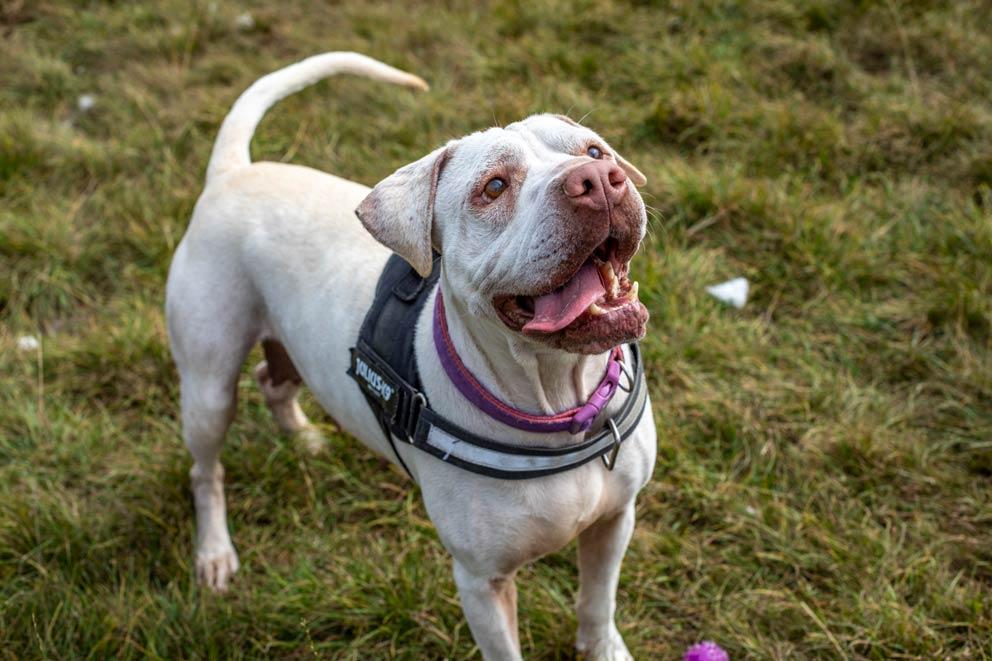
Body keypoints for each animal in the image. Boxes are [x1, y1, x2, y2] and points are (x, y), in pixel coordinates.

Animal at [167, 52, 656, 660]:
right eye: (494, 186)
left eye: (593, 151)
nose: (597, 181)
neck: (560, 403)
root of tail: (233, 172)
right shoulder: (481, 582)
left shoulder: (614, 521)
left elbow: (597, 604)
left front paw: (604, 647)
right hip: (208, 388)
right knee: (205, 469)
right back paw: (214, 552)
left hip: (290, 338)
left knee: (272, 380)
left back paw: (304, 439)